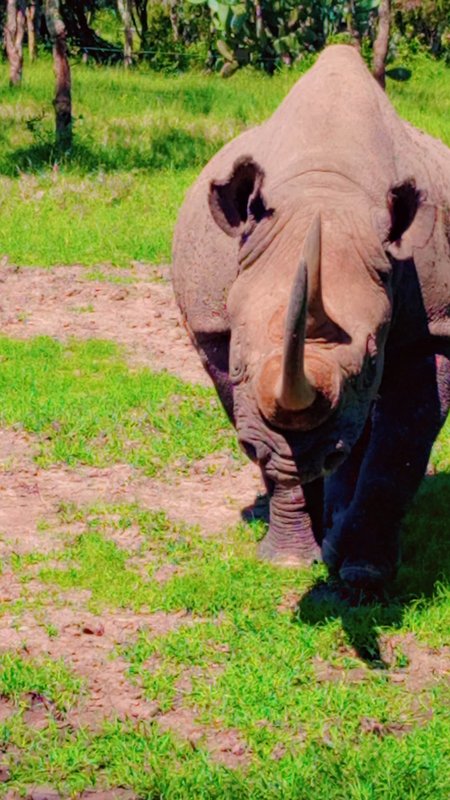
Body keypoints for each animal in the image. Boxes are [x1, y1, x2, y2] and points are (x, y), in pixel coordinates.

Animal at [172, 45, 450, 588]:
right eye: (237, 356)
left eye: (370, 361)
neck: (328, 188)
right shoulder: (215, 334)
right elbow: (277, 458)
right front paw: (289, 561)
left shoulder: (436, 331)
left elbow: (401, 441)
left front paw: (363, 574)